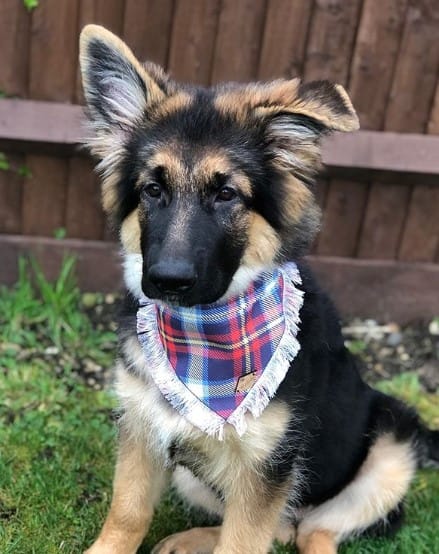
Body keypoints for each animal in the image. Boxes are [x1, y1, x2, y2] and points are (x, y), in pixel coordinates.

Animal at [79, 24, 439, 554]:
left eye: (227, 194)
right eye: (152, 190)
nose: (167, 280)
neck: (207, 334)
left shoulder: (265, 465)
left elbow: (244, 540)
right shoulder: (144, 427)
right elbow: (127, 514)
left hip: (390, 448)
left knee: (312, 532)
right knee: (283, 528)